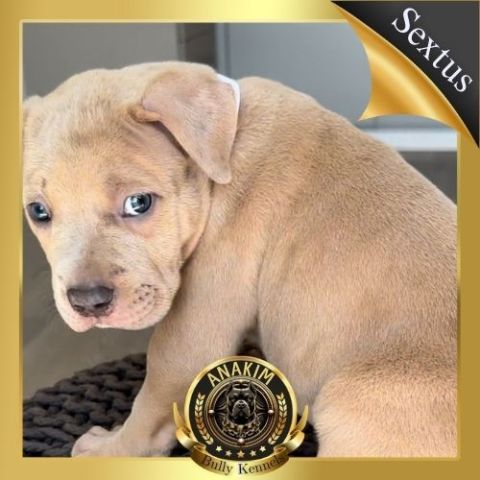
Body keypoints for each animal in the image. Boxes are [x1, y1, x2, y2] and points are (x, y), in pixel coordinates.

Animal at [22, 61, 457, 457]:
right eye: (38, 211)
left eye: (138, 203)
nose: (87, 301)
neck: (220, 148)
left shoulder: (191, 332)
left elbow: (150, 402)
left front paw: (109, 450)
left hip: (351, 401)